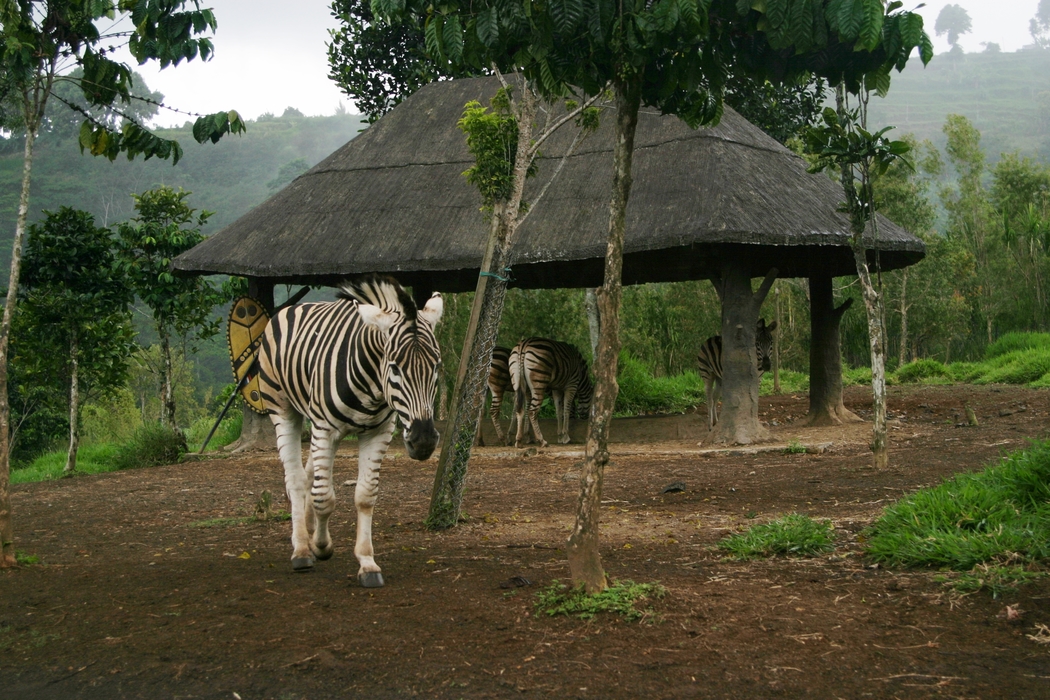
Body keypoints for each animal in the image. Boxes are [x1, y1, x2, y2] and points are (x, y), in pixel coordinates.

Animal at [262, 272, 447, 587]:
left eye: (436, 367)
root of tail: (296, 306)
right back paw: (302, 549)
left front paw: (367, 562)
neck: (372, 382)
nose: (423, 441)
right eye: (394, 368)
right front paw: (321, 546)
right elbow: (324, 497)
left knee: (309, 474)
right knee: (297, 480)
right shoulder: (325, 429)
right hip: (284, 409)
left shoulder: (378, 431)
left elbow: (364, 495)